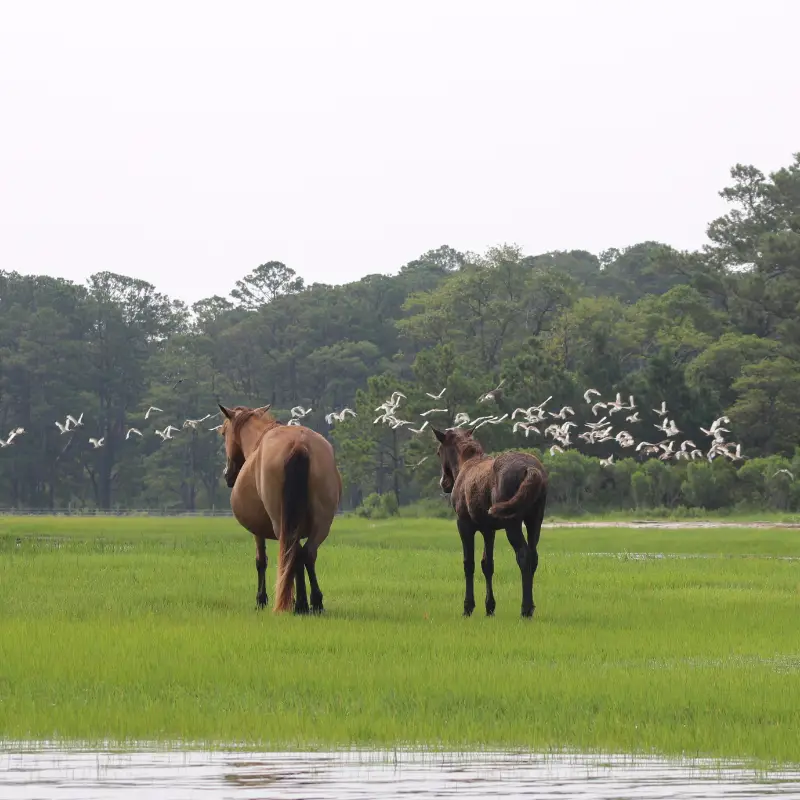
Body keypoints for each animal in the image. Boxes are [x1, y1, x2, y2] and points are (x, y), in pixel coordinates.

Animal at [218, 403, 342, 614]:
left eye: (224, 432)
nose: (228, 475)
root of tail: (299, 444)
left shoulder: (258, 531)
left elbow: (261, 560)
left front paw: (261, 599)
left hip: (280, 522)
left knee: (292, 553)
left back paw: (300, 604)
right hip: (322, 522)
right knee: (306, 554)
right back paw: (314, 602)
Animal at [432, 426, 548, 618]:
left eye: (439, 451)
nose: (444, 483)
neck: (465, 463)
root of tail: (531, 469)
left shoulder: (464, 524)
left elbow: (469, 564)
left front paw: (468, 606)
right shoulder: (488, 529)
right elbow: (487, 564)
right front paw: (490, 607)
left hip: (512, 523)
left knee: (523, 556)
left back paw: (525, 609)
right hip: (535, 520)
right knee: (534, 556)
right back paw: (530, 607)